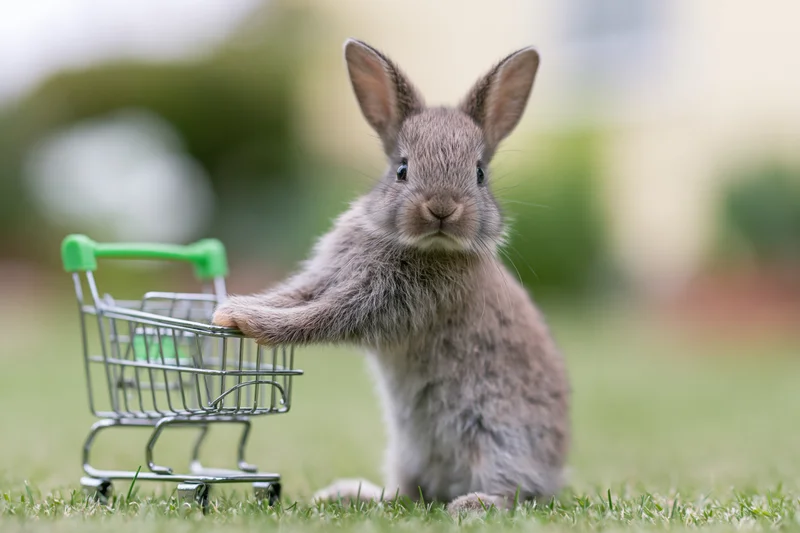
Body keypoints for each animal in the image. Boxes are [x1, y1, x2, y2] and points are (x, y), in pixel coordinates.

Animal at [212, 38, 570, 515]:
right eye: (402, 169)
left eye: (479, 173)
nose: (442, 208)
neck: (419, 245)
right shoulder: (329, 277)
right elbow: (295, 296)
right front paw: (231, 308)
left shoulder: (380, 304)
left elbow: (316, 318)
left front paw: (246, 320)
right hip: (407, 452)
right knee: (406, 494)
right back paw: (349, 494)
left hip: (501, 441)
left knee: (517, 492)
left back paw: (472, 504)